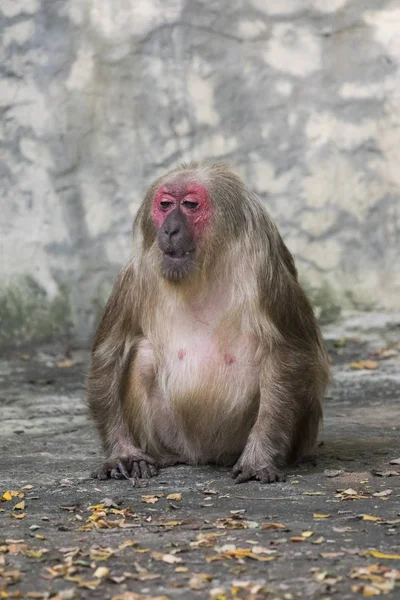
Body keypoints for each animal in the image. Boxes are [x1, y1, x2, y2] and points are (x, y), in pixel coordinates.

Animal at [89, 162, 330, 486]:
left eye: (190, 205)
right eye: (166, 205)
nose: (170, 229)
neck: (207, 263)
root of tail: (201, 456)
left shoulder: (264, 271)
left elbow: (289, 353)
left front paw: (259, 457)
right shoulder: (136, 273)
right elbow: (109, 354)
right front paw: (123, 453)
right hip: (174, 435)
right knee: (144, 355)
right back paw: (164, 456)